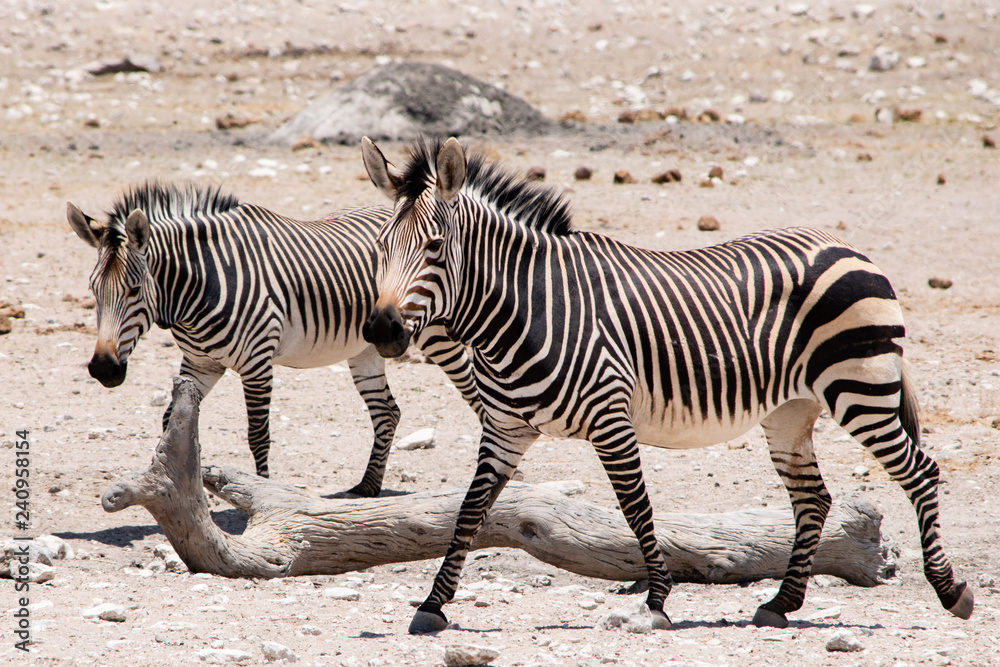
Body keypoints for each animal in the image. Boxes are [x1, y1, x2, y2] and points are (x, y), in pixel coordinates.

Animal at [68, 183, 482, 496]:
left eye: (134, 290)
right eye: (93, 290)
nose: (103, 368)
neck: (202, 285)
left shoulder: (256, 363)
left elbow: (258, 435)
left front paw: (260, 494)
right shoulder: (201, 364)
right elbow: (172, 422)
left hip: (436, 335)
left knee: (478, 398)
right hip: (365, 348)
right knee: (387, 412)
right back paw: (366, 487)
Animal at [362, 137, 976, 636]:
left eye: (435, 247)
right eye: (382, 247)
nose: (381, 329)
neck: (526, 310)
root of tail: (847, 245)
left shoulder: (610, 418)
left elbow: (636, 508)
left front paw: (656, 601)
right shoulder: (506, 428)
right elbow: (469, 511)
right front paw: (433, 605)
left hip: (859, 389)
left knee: (920, 471)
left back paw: (950, 591)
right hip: (790, 410)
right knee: (814, 498)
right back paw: (782, 602)